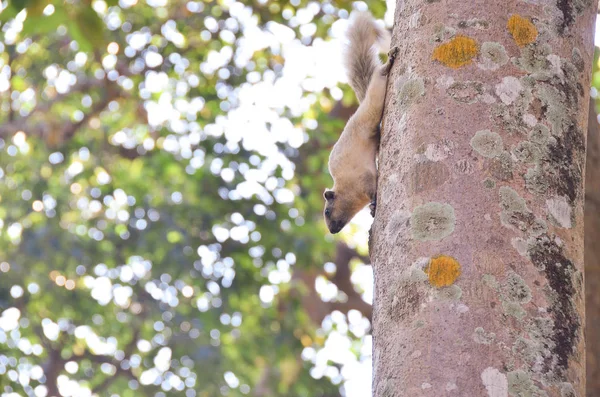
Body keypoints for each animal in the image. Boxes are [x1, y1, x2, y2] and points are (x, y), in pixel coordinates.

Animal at [322, 12, 396, 234]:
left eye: (327, 211)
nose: (332, 231)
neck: (346, 189)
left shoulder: (364, 179)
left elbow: (373, 190)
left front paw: (374, 205)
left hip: (375, 96)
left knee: (380, 75)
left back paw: (388, 63)